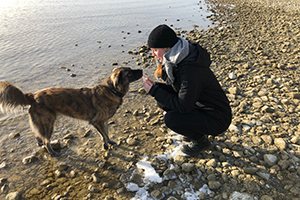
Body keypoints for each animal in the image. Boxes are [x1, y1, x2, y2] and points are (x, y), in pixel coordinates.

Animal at [0, 67, 143, 156]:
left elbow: (106, 133)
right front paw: (106, 145)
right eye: (129, 73)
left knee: (39, 136)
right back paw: (53, 153)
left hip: (41, 123)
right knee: (46, 140)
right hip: (48, 122)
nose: (141, 70)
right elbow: (103, 134)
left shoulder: (104, 121)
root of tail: (32, 96)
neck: (112, 90)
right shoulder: (96, 122)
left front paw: (109, 142)